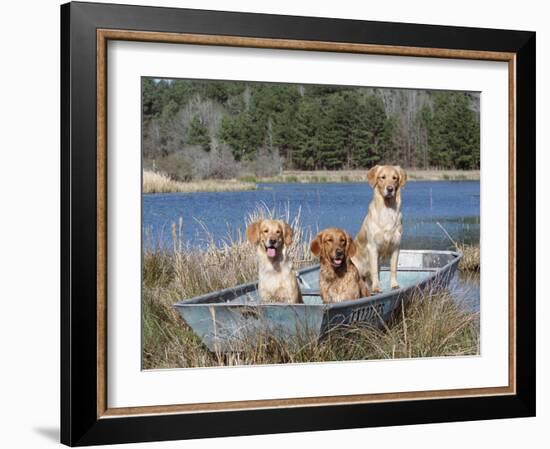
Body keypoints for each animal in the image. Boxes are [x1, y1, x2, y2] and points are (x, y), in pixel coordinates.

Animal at [352, 164, 408, 294]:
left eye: (395, 178)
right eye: (382, 177)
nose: (390, 189)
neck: (387, 210)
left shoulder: (396, 247)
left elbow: (393, 269)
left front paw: (394, 285)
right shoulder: (372, 248)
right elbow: (374, 272)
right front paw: (376, 288)